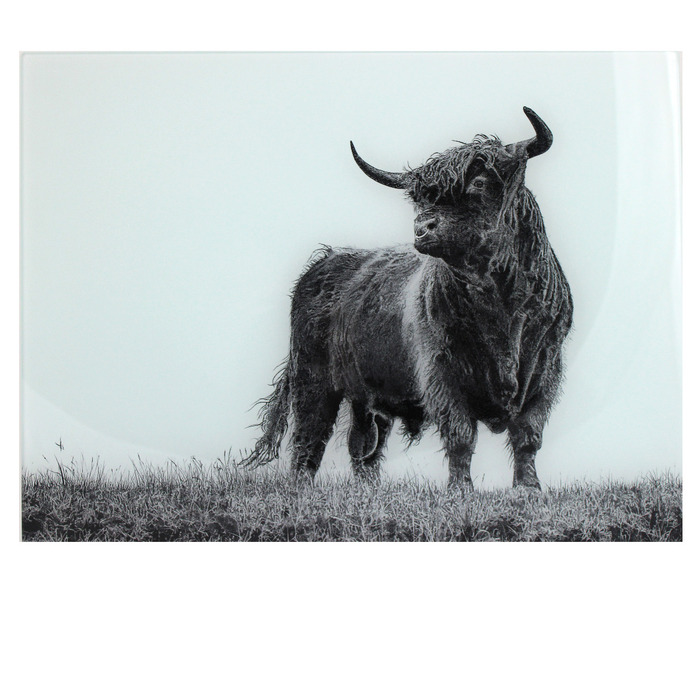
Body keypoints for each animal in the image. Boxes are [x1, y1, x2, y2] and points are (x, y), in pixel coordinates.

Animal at [242, 107, 573, 490]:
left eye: (478, 182)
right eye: (420, 199)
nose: (423, 228)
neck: (499, 303)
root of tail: (327, 259)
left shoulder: (546, 369)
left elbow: (528, 435)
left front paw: (528, 488)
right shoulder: (442, 371)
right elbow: (460, 434)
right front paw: (461, 489)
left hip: (366, 393)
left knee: (363, 445)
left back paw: (368, 490)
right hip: (312, 376)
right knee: (310, 435)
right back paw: (301, 487)